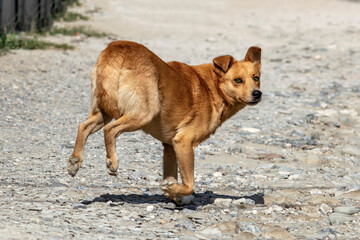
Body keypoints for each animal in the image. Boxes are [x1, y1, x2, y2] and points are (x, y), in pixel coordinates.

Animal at [67, 40, 262, 204]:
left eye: (256, 78)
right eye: (238, 80)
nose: (257, 94)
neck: (212, 87)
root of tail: (118, 47)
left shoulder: (170, 147)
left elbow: (172, 176)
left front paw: (173, 194)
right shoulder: (184, 142)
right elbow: (189, 184)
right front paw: (174, 190)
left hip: (103, 111)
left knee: (83, 127)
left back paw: (75, 161)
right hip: (142, 114)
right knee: (110, 130)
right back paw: (112, 161)